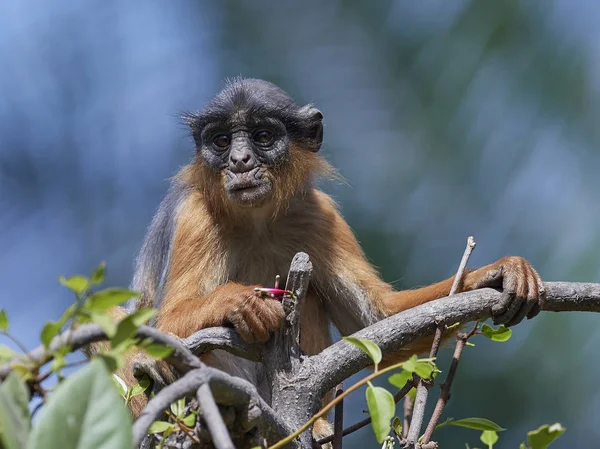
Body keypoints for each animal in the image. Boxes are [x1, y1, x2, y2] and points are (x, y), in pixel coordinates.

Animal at [102, 79, 544, 446]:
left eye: (263, 137)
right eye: (222, 140)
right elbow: (162, 319)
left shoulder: (319, 215)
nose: (240, 161)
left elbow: (374, 319)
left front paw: (495, 272)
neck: (257, 223)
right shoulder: (196, 216)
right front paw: (240, 303)